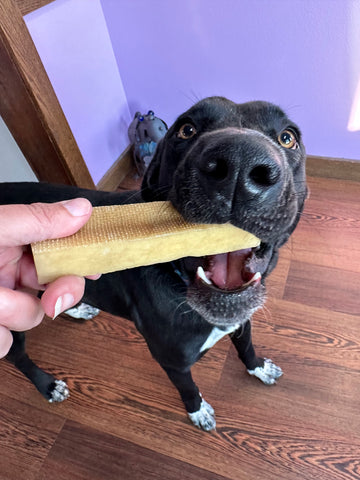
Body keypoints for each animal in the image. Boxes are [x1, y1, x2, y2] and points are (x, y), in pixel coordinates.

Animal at [2, 95, 306, 430]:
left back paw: (77, 308)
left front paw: (258, 367)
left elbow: (246, 347)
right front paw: (197, 411)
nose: (241, 162)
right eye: (186, 129)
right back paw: (47, 384)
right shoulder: (172, 361)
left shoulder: (242, 321)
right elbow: (188, 388)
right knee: (18, 357)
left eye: (288, 138)